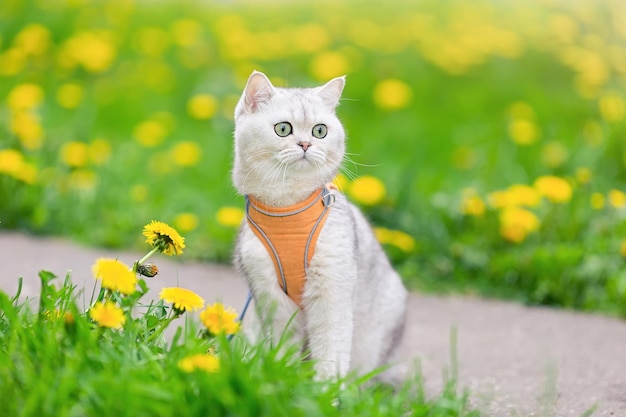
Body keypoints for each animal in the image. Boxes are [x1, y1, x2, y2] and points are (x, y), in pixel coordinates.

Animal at [232, 71, 408, 380]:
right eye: (283, 129)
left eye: (319, 131)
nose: (306, 145)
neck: (287, 210)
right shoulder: (270, 296)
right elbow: (282, 349)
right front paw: (282, 380)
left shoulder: (332, 290)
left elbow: (330, 351)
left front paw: (326, 389)